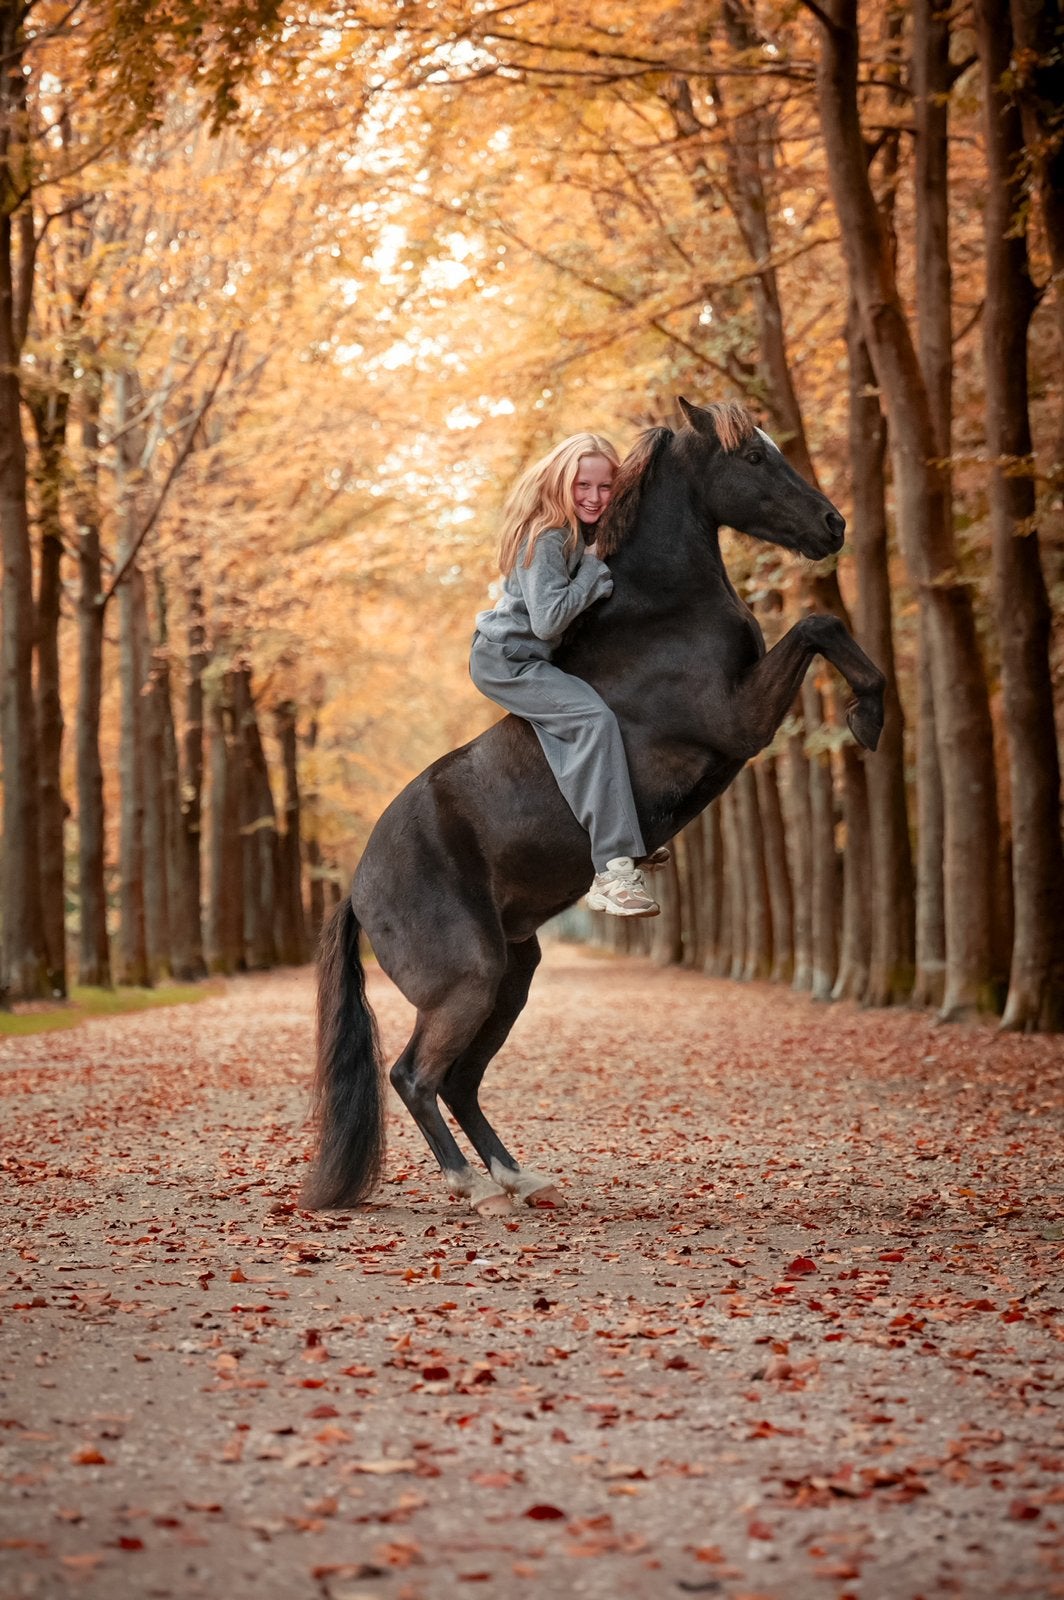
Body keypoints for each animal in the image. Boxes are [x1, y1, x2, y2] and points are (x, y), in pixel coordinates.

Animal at [304, 398, 885, 1215]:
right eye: (753, 458)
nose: (832, 524)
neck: (662, 611)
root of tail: (358, 887)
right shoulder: (739, 720)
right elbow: (818, 625)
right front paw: (869, 715)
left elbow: (822, 628)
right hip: (469, 978)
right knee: (416, 1075)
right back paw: (472, 1189)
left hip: (512, 975)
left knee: (461, 1080)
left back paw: (516, 1177)